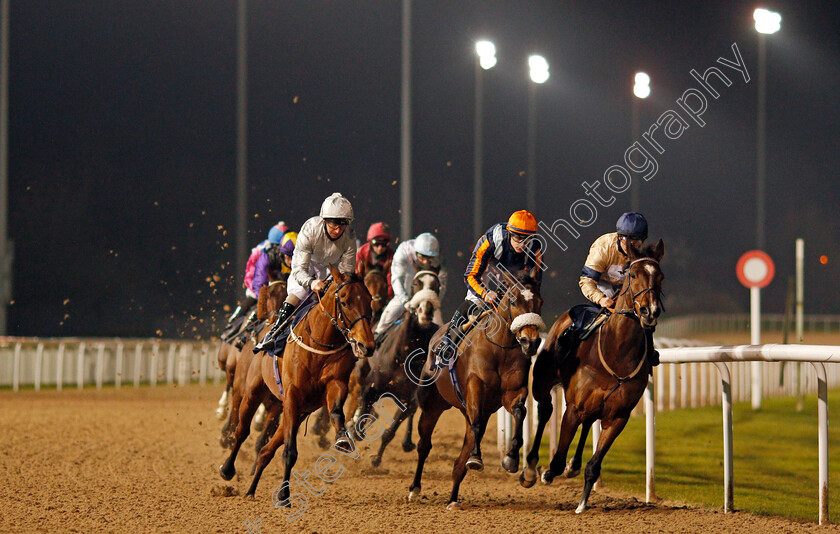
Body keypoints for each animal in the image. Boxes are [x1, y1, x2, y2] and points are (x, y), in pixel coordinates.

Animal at [218, 266, 376, 500]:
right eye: (345, 301)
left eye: (369, 300)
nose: (367, 346)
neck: (320, 342)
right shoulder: (292, 396)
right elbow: (289, 451)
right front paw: (284, 496)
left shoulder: (332, 384)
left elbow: (336, 410)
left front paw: (342, 438)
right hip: (252, 391)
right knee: (241, 430)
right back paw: (228, 468)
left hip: (295, 410)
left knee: (266, 449)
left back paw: (251, 490)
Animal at [354, 270, 442, 466]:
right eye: (416, 283)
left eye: (437, 285)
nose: (426, 311)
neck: (403, 357)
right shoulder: (371, 386)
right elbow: (362, 412)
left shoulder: (409, 400)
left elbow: (391, 430)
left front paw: (376, 459)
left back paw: (407, 442)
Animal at [408, 266, 544, 510]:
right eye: (514, 300)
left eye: (540, 301)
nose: (531, 342)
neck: (500, 348)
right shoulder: (475, 387)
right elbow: (478, 425)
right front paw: (477, 458)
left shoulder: (512, 392)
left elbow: (520, 412)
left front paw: (511, 459)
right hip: (432, 405)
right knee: (424, 445)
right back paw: (415, 488)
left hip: (467, 410)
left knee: (460, 459)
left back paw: (453, 499)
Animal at [520, 242, 668, 516]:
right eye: (633, 275)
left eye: (660, 277)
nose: (649, 312)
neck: (616, 353)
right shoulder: (573, 408)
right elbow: (557, 460)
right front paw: (547, 473)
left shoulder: (618, 417)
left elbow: (594, 464)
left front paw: (582, 503)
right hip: (543, 382)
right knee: (545, 410)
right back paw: (530, 469)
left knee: (588, 423)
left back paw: (573, 466)